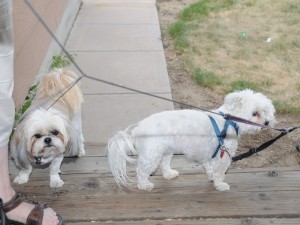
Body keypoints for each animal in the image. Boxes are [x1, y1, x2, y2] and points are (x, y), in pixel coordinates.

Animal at [106, 89, 276, 192]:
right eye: (255, 113)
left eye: (265, 111)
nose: (267, 122)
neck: (228, 121)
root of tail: (137, 130)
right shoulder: (223, 156)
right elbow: (219, 172)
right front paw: (220, 184)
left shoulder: (212, 155)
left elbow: (210, 168)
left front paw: (212, 177)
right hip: (151, 155)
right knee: (141, 171)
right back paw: (144, 185)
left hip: (165, 151)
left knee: (164, 165)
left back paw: (169, 174)